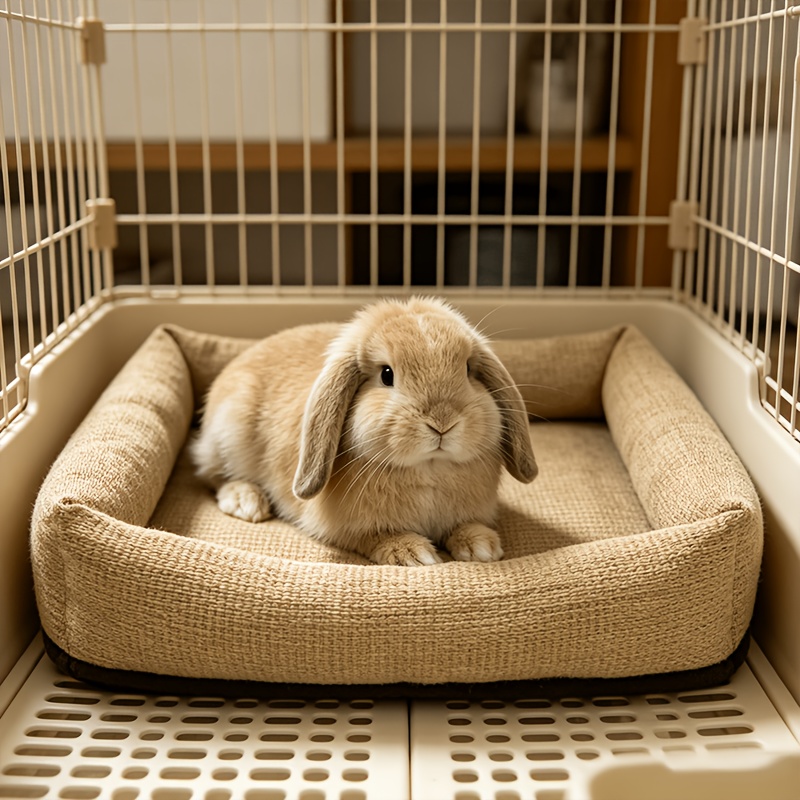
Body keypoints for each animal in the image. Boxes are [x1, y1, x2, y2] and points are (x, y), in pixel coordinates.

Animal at [190, 297, 537, 566]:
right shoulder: (352, 529)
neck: (430, 469)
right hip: (229, 437)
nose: (442, 422)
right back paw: (245, 502)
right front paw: (411, 553)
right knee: (213, 477)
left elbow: (466, 526)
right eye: (387, 375)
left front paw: (481, 546)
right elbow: (376, 537)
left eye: (467, 370)